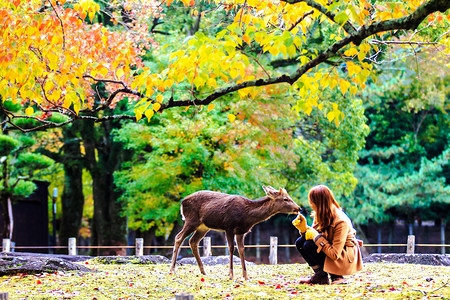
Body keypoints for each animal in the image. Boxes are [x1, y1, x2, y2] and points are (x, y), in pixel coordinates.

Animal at [169, 186, 298, 280]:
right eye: (286, 199)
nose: (298, 208)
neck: (247, 217)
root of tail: (182, 202)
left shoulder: (241, 232)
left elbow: (241, 250)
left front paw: (246, 276)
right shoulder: (229, 226)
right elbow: (231, 248)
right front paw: (230, 275)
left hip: (203, 226)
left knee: (193, 241)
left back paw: (203, 271)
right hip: (191, 220)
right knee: (178, 237)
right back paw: (172, 270)